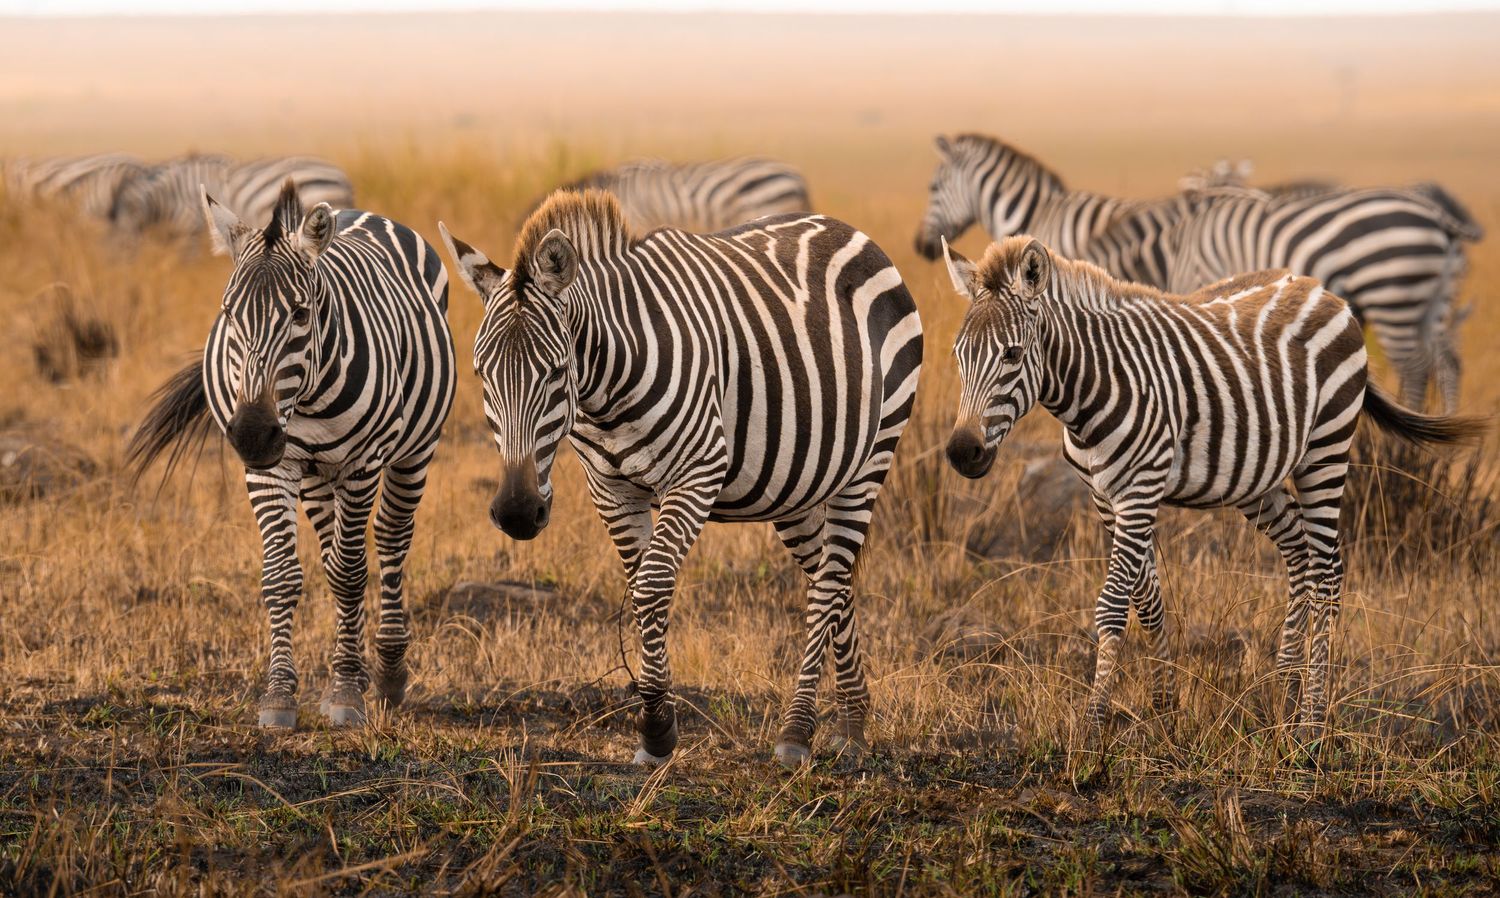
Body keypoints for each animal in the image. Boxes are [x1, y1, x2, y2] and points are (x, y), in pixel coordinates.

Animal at [127, 180, 455, 729]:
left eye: (301, 314)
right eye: (228, 314)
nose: (252, 434)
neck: (307, 398)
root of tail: (359, 212)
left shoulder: (362, 465)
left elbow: (350, 573)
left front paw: (346, 692)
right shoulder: (271, 470)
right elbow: (283, 575)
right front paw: (280, 694)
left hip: (413, 449)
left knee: (390, 538)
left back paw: (388, 670)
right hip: (317, 474)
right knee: (331, 548)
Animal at [440, 189, 923, 766]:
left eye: (556, 372)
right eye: (480, 375)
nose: (516, 511)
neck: (606, 391)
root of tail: (846, 228)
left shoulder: (697, 474)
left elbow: (651, 586)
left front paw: (654, 726)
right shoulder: (611, 490)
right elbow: (641, 586)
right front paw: (659, 729)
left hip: (870, 460)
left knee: (830, 582)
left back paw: (798, 731)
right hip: (800, 484)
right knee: (833, 578)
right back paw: (852, 722)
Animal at [941, 235, 1484, 736]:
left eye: (1012, 354)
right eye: (958, 355)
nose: (963, 453)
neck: (1091, 391)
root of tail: (1319, 288)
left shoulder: (1140, 490)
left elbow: (1113, 605)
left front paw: (1093, 726)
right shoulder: (1106, 498)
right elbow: (1147, 599)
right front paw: (1164, 707)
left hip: (1326, 447)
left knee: (1328, 571)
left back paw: (1311, 722)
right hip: (1257, 478)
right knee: (1300, 553)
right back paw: (1286, 694)